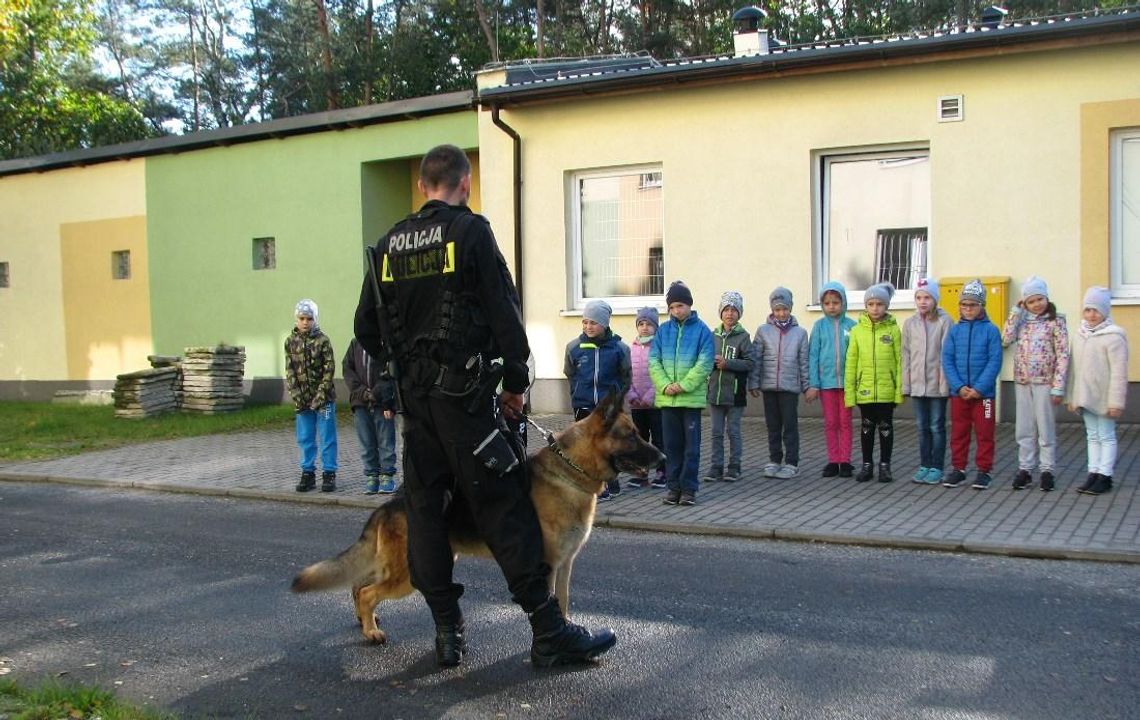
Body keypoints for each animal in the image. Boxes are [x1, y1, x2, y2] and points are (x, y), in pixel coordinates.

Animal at [291, 391, 665, 642]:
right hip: (406, 575)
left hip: (400, 567)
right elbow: (550, 602)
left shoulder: (565, 565)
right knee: (367, 591)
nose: (662, 458)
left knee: (358, 586)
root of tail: (387, 506)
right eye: (631, 436)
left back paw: (364, 621)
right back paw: (371, 632)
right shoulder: (547, 566)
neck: (570, 472)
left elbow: (564, 601)